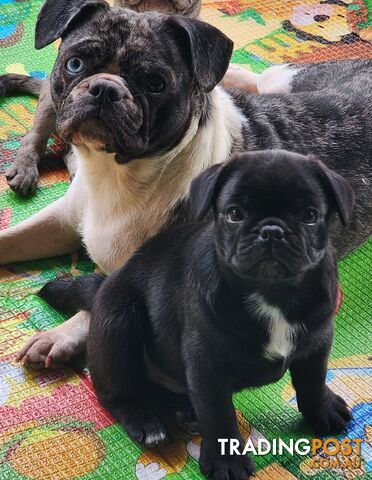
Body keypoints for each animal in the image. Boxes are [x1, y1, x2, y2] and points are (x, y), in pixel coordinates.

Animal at [0, 0, 370, 370]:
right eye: (74, 64)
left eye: (155, 84)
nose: (105, 87)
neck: (116, 172)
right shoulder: (59, 221)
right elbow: (12, 239)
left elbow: (105, 300)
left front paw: (59, 335)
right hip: (277, 84)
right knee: (246, 79)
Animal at [40, 151, 354, 480]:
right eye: (234, 214)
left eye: (309, 215)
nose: (272, 231)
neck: (273, 293)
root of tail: (103, 285)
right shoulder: (208, 367)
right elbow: (219, 415)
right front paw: (226, 462)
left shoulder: (316, 344)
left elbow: (313, 381)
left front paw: (322, 410)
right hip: (118, 325)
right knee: (115, 393)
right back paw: (146, 423)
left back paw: (183, 410)